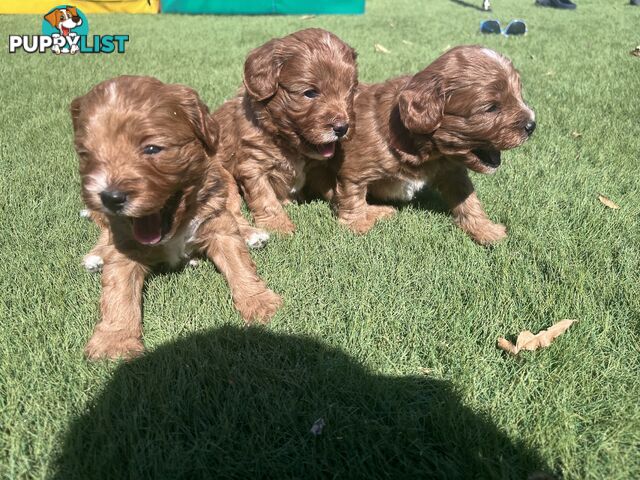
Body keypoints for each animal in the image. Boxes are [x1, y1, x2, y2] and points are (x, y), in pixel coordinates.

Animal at [71, 76, 282, 360]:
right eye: (86, 154)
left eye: (152, 148)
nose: (111, 198)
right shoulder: (124, 244)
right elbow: (118, 292)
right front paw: (114, 341)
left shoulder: (217, 223)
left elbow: (239, 262)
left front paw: (259, 302)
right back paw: (95, 257)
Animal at [214, 27, 356, 237]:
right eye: (310, 93)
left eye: (350, 91)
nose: (342, 128)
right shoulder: (252, 166)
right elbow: (265, 198)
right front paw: (279, 225)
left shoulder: (319, 169)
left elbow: (335, 188)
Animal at [330, 46, 536, 244]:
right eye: (491, 108)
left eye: (519, 95)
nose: (532, 125)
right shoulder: (353, 172)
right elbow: (353, 198)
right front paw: (358, 224)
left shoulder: (453, 171)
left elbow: (468, 199)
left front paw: (485, 229)